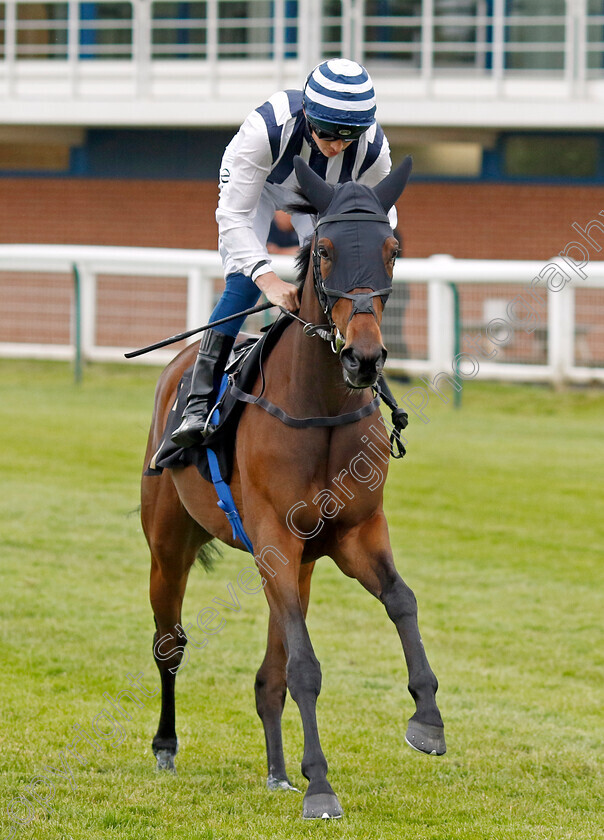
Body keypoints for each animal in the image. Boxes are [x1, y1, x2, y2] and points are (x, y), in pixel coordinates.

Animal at [140, 154, 444, 816]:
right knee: (169, 643)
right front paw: (321, 785)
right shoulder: (274, 540)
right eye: (324, 251)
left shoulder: (355, 534)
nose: (364, 358)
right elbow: (305, 665)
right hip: (169, 545)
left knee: (267, 675)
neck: (319, 410)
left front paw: (428, 719)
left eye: (392, 250)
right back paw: (166, 745)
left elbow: (402, 601)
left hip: (299, 564)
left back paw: (280, 770)